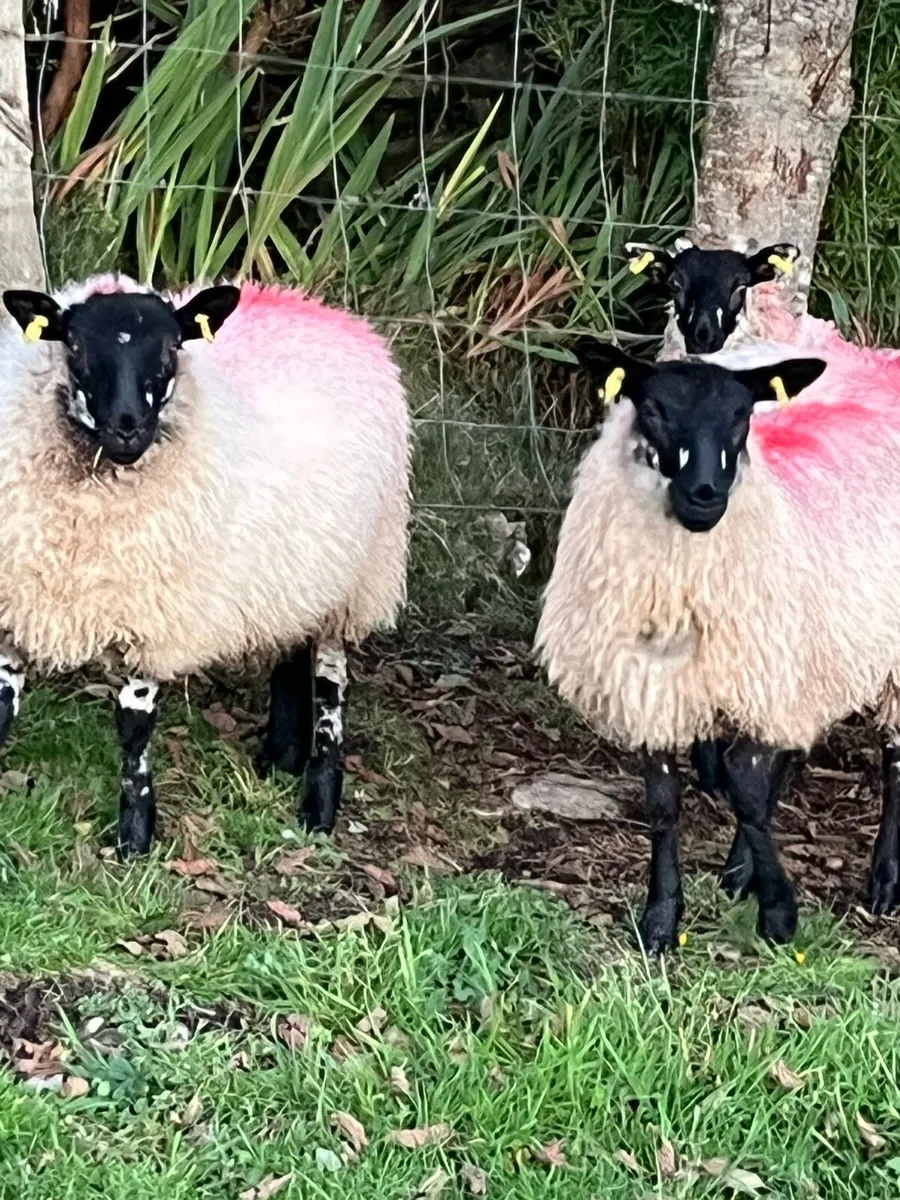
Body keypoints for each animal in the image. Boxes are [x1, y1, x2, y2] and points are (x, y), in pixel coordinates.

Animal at [0, 274, 410, 854]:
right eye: (73, 345)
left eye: (172, 347)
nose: (127, 429)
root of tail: (323, 310)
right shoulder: (19, 597)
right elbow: (1, 703)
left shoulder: (154, 616)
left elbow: (134, 730)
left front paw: (135, 840)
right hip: (293, 572)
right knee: (290, 649)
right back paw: (281, 755)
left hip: (355, 578)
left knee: (332, 684)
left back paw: (319, 801)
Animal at [536, 327, 900, 950]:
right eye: (654, 409)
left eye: (741, 415)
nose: (705, 493)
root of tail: (877, 356)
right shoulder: (655, 682)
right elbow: (666, 801)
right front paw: (662, 917)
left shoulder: (763, 665)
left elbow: (744, 787)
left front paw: (779, 913)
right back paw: (739, 871)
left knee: (894, 759)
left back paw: (884, 880)